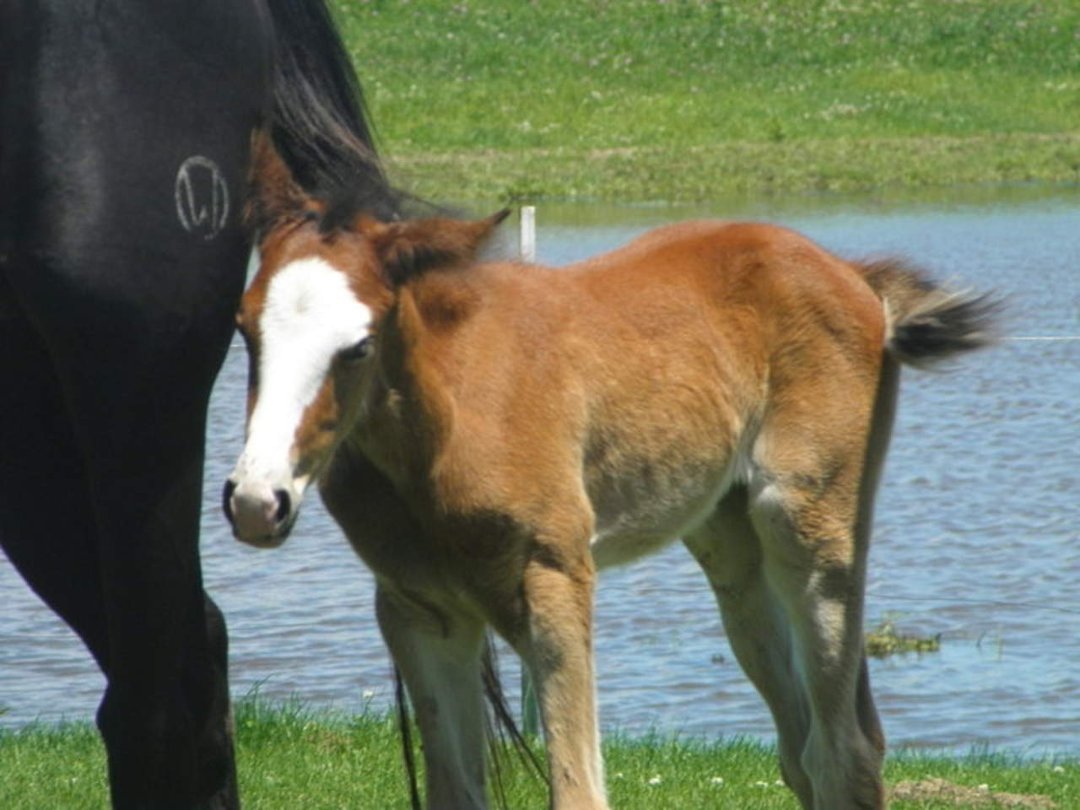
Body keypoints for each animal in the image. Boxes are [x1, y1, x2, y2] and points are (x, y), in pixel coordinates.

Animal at [224, 138, 998, 810]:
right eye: (243, 327)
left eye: (357, 347)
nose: (258, 501)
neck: (448, 419)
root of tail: (855, 276)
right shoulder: (419, 610)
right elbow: (458, 794)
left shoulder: (555, 576)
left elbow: (578, 791)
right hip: (734, 551)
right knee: (802, 747)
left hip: (808, 526)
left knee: (845, 752)